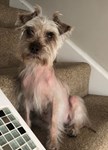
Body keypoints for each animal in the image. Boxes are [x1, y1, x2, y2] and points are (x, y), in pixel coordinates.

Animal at [16, 4, 90, 150]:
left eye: (50, 35)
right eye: (29, 31)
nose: (34, 47)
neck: (37, 70)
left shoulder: (55, 102)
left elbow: (54, 123)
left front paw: (53, 143)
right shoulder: (26, 98)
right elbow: (27, 118)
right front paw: (28, 130)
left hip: (75, 100)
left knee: (78, 122)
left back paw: (73, 129)